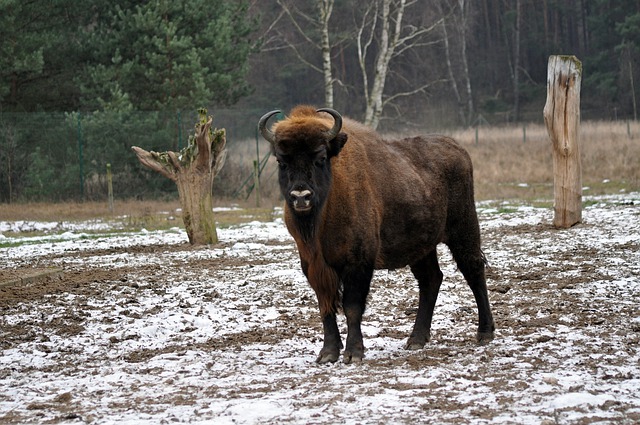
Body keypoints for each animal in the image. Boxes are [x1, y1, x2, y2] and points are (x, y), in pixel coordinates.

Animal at [256, 104, 496, 362]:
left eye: (320, 157)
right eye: (281, 161)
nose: (301, 197)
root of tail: (456, 147)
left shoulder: (358, 263)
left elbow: (352, 307)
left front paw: (353, 353)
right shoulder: (314, 265)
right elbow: (325, 306)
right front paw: (328, 353)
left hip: (464, 229)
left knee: (473, 270)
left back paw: (485, 333)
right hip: (422, 247)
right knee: (431, 279)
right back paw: (416, 339)